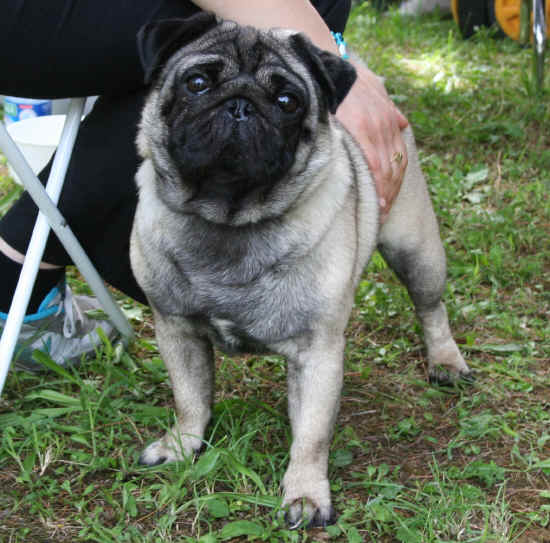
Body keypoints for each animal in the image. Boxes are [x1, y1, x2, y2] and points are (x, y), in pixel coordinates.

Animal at [130, 12, 474, 528]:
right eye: (196, 83)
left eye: (287, 101)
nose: (240, 104)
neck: (229, 220)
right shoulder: (176, 329)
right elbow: (190, 399)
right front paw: (182, 445)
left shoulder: (318, 353)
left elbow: (311, 435)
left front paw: (307, 494)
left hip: (417, 250)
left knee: (431, 308)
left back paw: (446, 361)